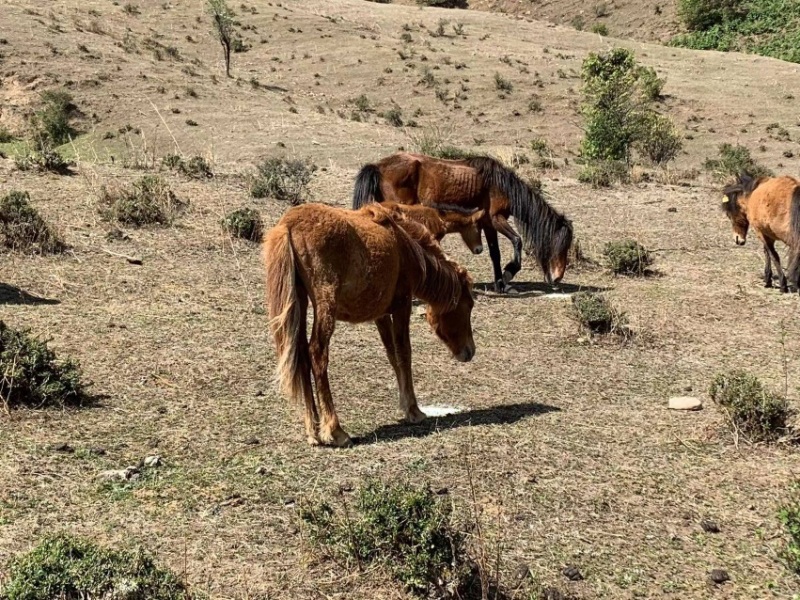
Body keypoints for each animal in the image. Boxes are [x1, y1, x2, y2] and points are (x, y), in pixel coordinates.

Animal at [263, 202, 476, 448]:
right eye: (469, 305)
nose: (470, 351)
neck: (405, 246)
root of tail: (288, 225)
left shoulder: (381, 315)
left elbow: (392, 355)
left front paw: (406, 404)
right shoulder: (402, 306)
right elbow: (404, 354)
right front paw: (414, 410)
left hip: (300, 301)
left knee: (301, 357)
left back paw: (313, 431)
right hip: (325, 306)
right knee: (317, 354)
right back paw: (335, 431)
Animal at [352, 151, 573, 292]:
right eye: (562, 245)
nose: (557, 278)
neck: (499, 185)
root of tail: (377, 166)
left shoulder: (487, 224)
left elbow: (495, 253)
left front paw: (500, 284)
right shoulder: (496, 218)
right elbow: (517, 241)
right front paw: (509, 273)